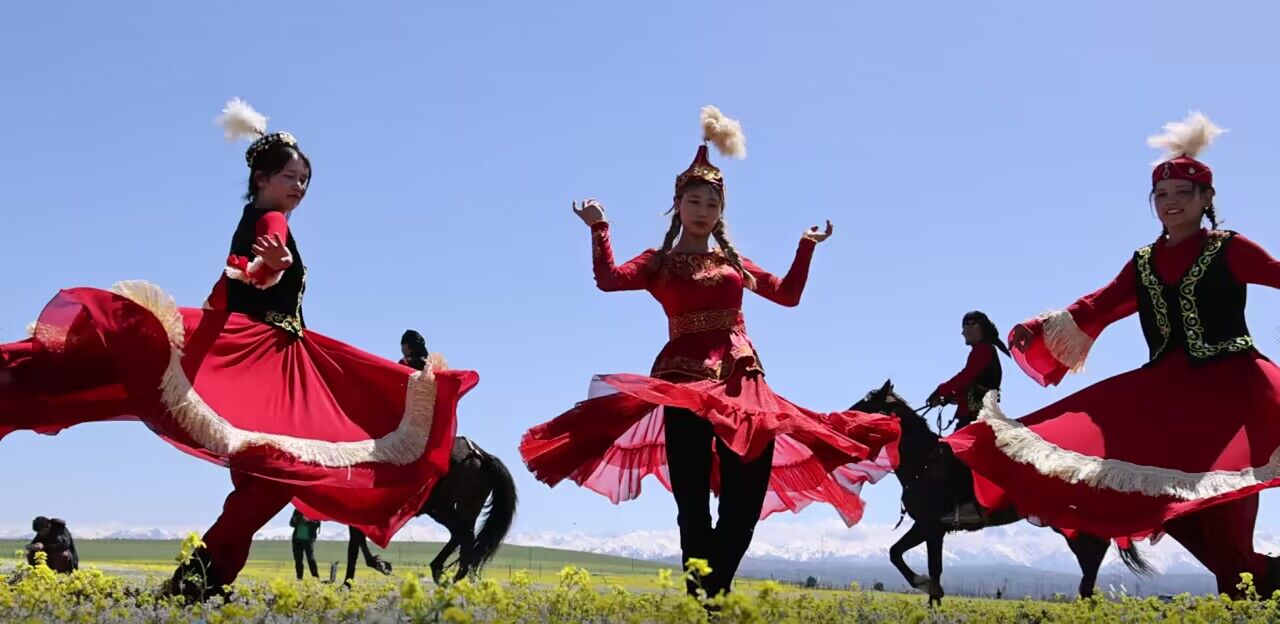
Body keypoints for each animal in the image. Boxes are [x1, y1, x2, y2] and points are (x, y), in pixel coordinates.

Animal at [343, 436, 517, 584]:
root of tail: (479, 454)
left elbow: (354, 545)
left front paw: (350, 582)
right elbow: (356, 541)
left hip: (442, 508)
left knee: (464, 538)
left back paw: (449, 579)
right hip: (461, 509)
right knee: (461, 537)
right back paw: (441, 572)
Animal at [852, 380, 1151, 604]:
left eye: (866, 405)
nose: (846, 415)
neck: (923, 460)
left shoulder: (932, 526)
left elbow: (932, 568)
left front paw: (928, 590)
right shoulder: (926, 526)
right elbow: (896, 553)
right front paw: (927, 589)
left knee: (1094, 551)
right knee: (1090, 554)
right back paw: (1086, 599)